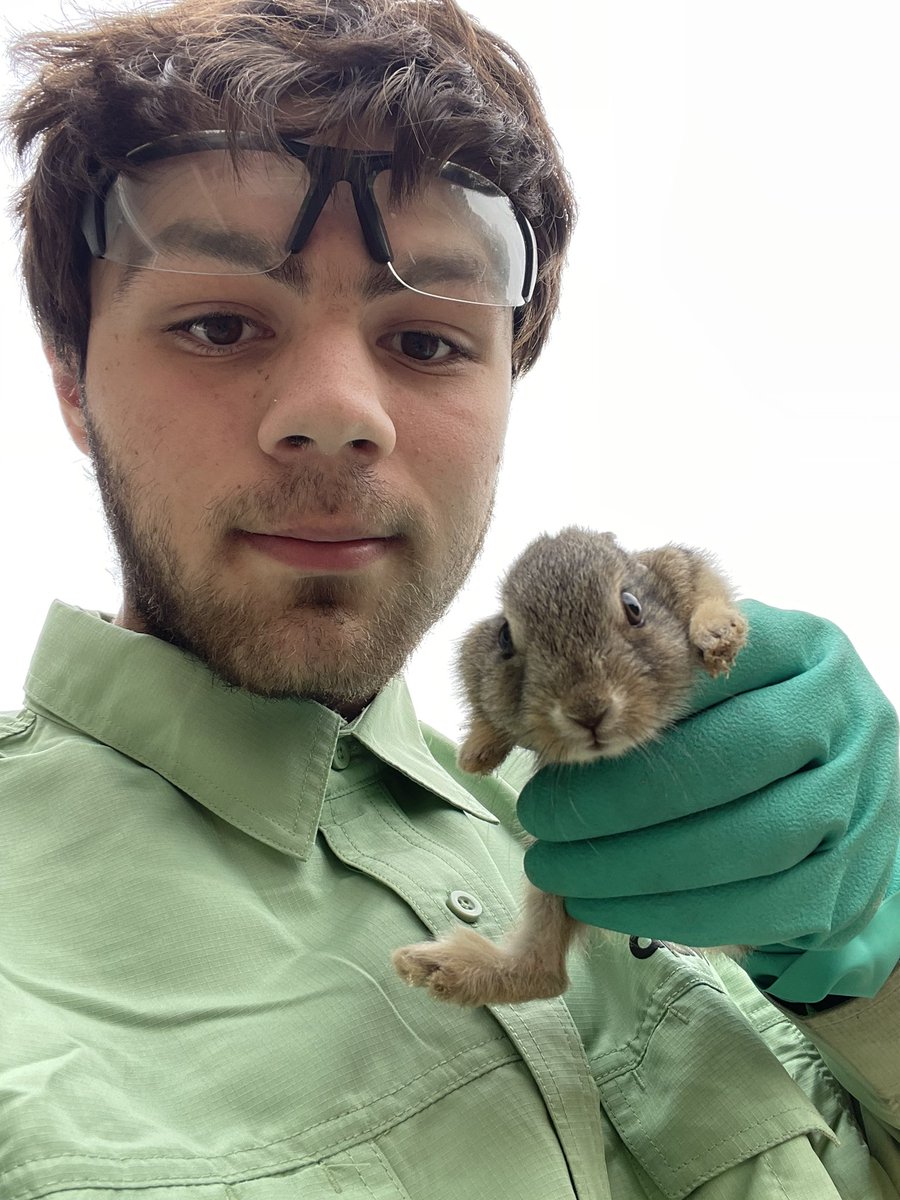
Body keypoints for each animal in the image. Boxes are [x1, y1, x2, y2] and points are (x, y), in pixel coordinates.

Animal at [392, 527, 750, 1006]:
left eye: (634, 606)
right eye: (505, 638)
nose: (588, 710)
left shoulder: (680, 570)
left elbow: (707, 591)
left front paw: (718, 637)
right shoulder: (476, 652)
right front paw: (476, 754)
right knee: (544, 974)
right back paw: (432, 968)